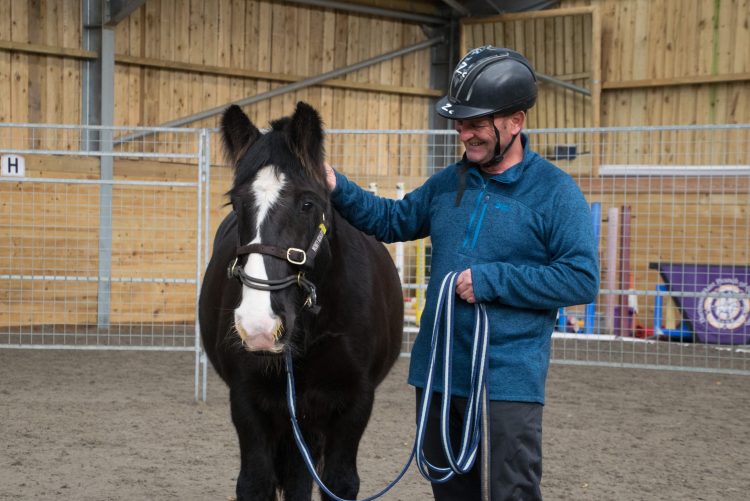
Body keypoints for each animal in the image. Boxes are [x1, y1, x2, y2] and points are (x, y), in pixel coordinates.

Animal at [198, 102, 404, 501]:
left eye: (307, 203)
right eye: (236, 203)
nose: (259, 325)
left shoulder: (355, 404)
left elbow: (340, 483)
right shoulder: (247, 402)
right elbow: (255, 483)